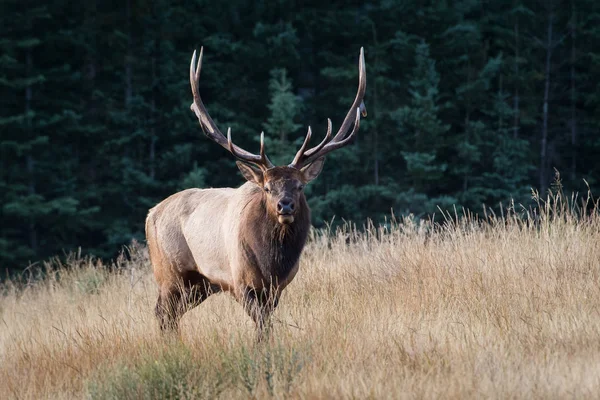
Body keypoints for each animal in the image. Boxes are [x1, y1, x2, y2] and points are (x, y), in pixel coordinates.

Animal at [146, 47, 366, 340]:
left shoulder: (277, 288)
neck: (272, 263)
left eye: (300, 186)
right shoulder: (240, 282)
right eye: (267, 188)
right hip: (169, 272)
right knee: (162, 311)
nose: (286, 206)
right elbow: (261, 323)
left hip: (200, 283)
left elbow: (267, 323)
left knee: (171, 314)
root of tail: (150, 214)